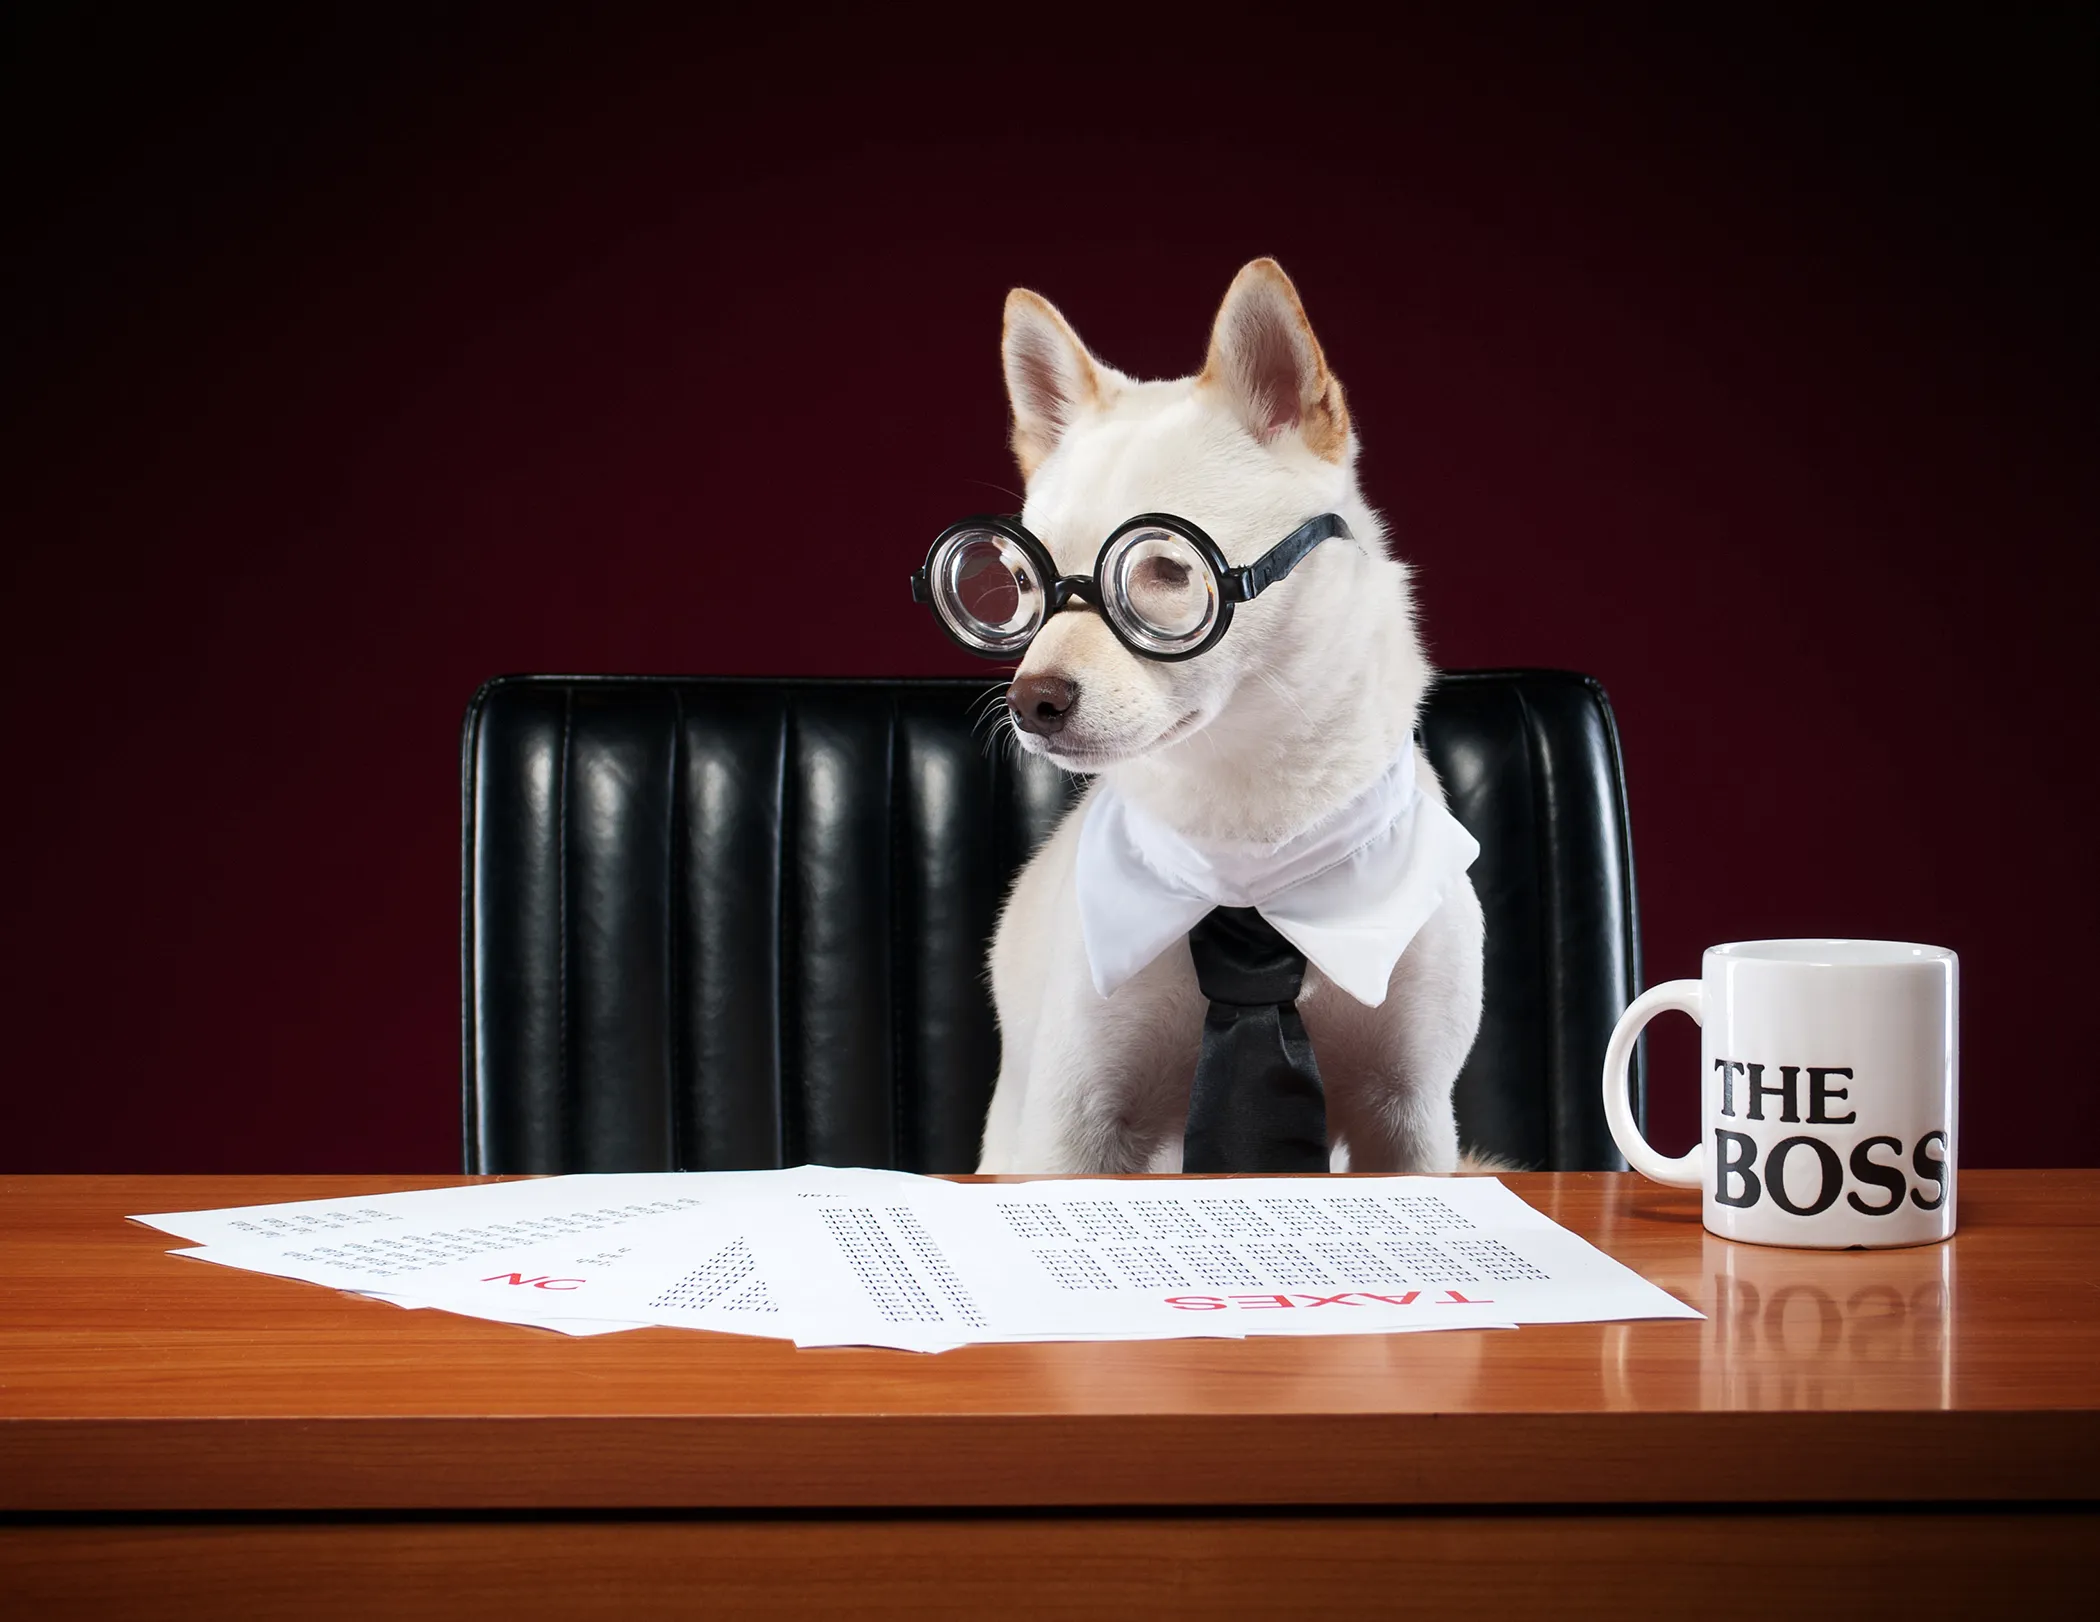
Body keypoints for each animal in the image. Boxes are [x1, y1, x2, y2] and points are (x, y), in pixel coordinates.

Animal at [970, 262, 1486, 1176]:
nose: (1030, 702)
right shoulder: (1076, 1129)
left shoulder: (1410, 1119)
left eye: (1168, 572)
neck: (1246, 835)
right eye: (1024, 587)